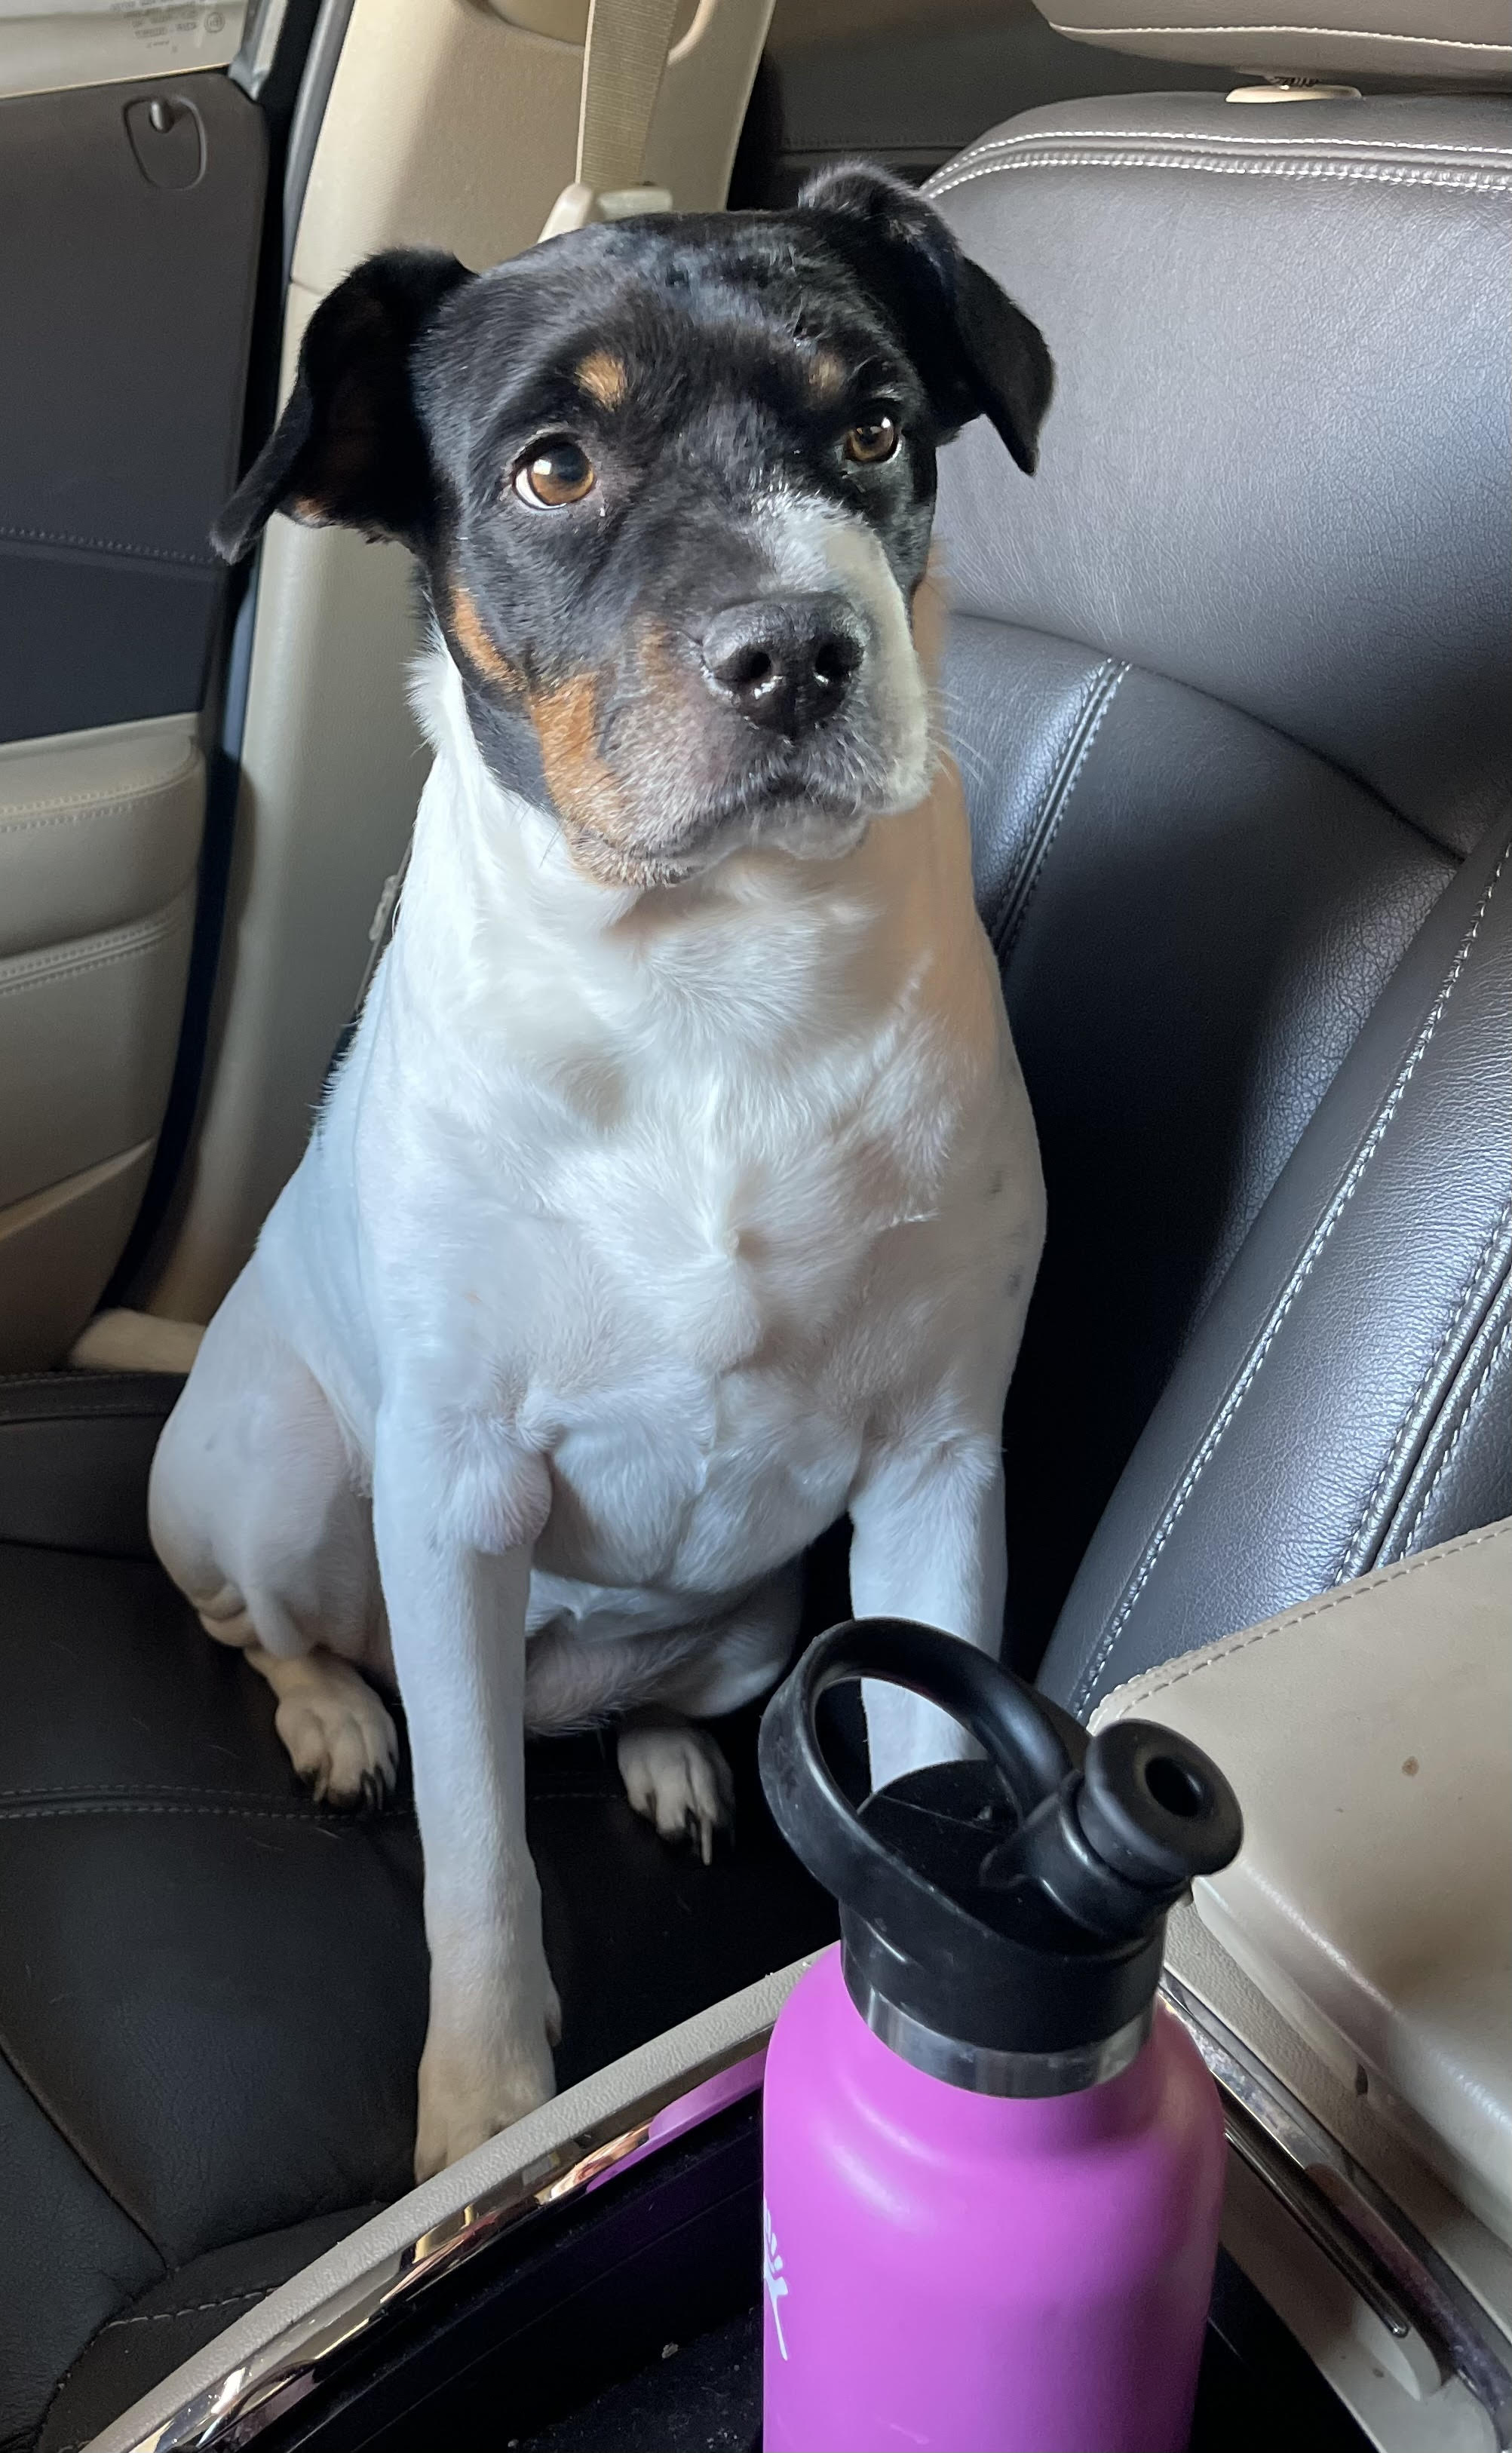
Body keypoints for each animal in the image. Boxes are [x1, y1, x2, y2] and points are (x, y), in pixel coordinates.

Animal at [153, 163, 1050, 2178]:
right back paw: (338, 1716)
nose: (797, 649)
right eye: (551, 467)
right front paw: (486, 2107)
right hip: (278, 1479)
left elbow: (934, 1759)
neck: (712, 974)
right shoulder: (458, 1487)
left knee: (632, 1692)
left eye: (873, 425)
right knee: (263, 1626)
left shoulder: (939, 1472)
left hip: (758, 1618)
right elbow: (478, 1861)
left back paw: (656, 1745)